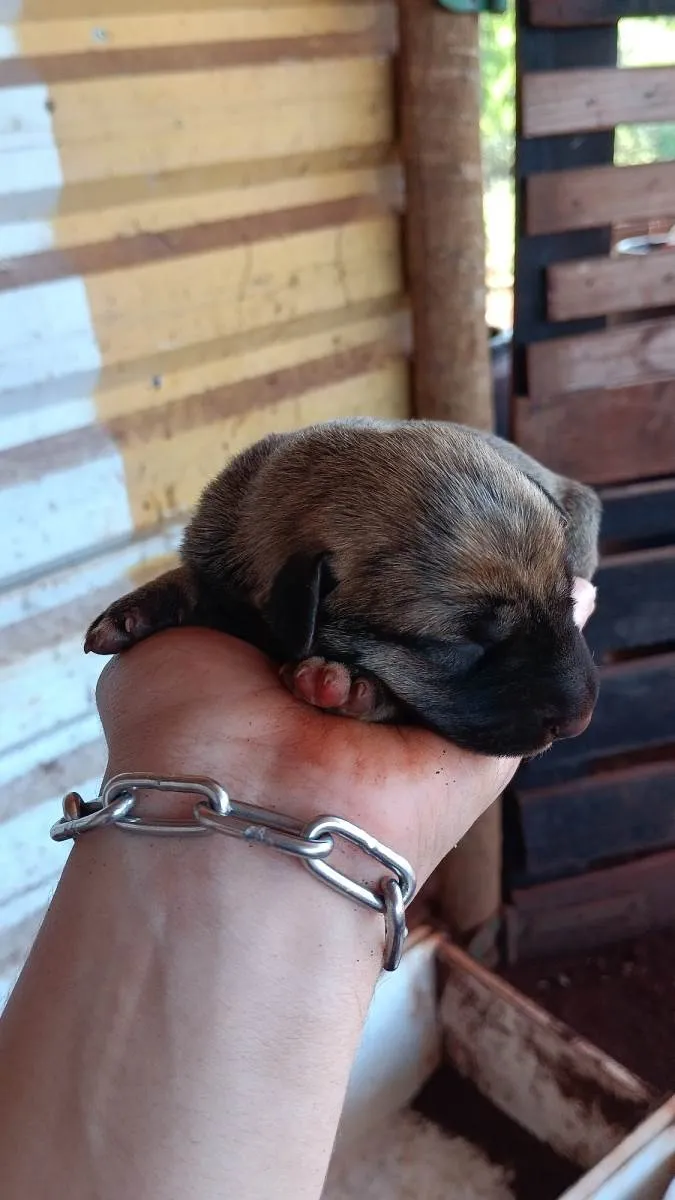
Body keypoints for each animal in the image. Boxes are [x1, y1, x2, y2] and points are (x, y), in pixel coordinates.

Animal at [85, 420, 598, 758]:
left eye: (568, 602)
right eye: (458, 645)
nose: (581, 722)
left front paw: (353, 689)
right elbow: (188, 581)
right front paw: (130, 613)